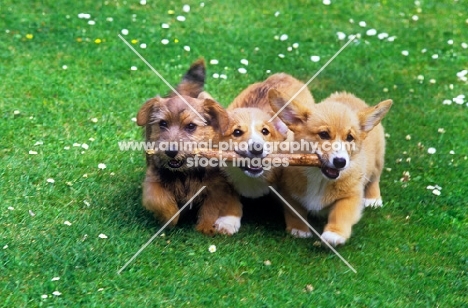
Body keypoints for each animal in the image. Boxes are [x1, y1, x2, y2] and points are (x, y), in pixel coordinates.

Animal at [135, 59, 243, 235]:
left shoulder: (217, 187)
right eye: (162, 123)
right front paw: (170, 218)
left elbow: (211, 207)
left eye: (191, 126)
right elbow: (159, 200)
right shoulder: (153, 180)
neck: (185, 172)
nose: (171, 151)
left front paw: (205, 227)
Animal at [266, 89, 392, 245]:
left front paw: (334, 234)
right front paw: (299, 230)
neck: (319, 178)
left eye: (349, 137)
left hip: (377, 161)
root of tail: (348, 96)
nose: (340, 162)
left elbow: (341, 213)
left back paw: (373, 198)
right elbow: (295, 212)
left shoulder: (351, 196)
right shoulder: (289, 193)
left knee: (375, 178)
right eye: (324, 134)